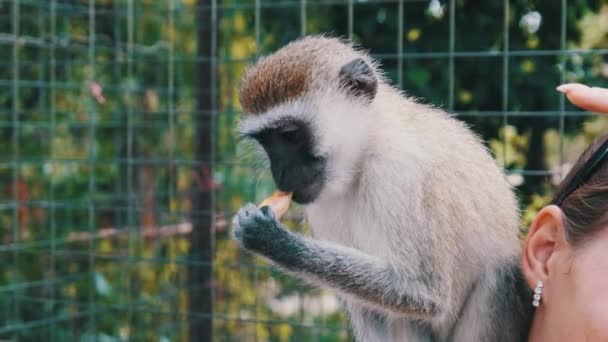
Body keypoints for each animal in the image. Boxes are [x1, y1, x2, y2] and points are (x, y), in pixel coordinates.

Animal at [232, 36, 532, 340]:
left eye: (290, 135)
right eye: (266, 141)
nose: (280, 174)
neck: (365, 152)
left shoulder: (401, 170)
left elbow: (423, 290)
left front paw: (271, 239)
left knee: (496, 272)